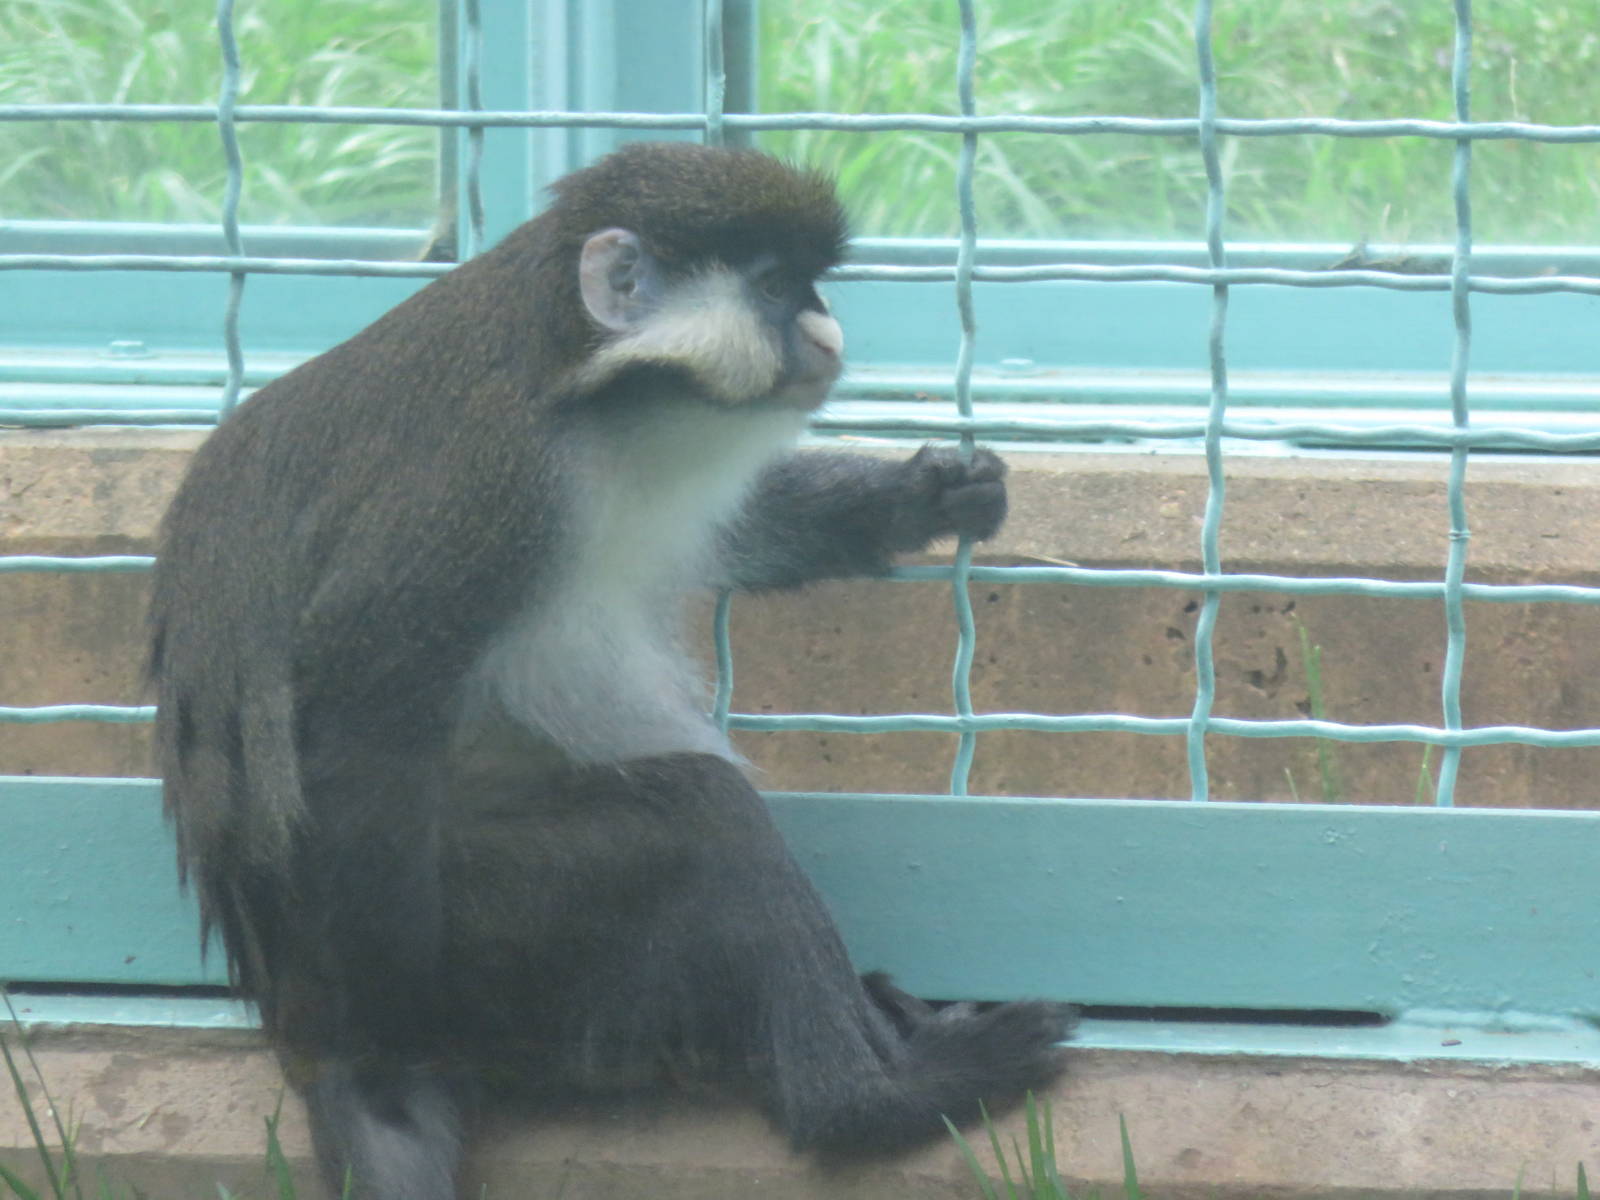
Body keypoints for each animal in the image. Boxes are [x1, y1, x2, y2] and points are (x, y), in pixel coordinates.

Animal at [148, 141, 1072, 1200]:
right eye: (773, 287)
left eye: (807, 282)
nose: (827, 325)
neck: (594, 395)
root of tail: (293, 1018)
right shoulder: (481, 490)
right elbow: (351, 704)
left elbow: (739, 528)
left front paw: (923, 492)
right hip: (495, 932)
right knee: (703, 817)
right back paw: (869, 1096)